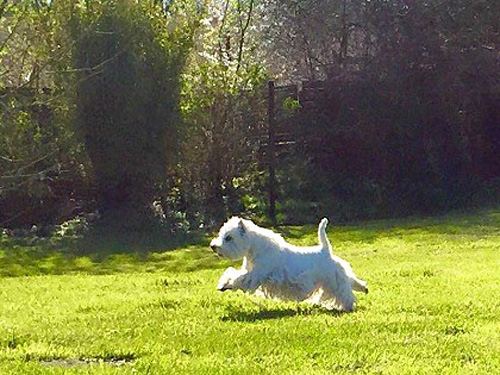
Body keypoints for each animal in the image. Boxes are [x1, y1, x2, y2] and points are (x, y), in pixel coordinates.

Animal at [209, 216, 370, 312]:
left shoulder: (254, 274)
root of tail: (325, 250)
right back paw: (364, 288)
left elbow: (238, 278)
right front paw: (223, 284)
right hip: (336, 274)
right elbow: (232, 272)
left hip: (333, 278)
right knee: (350, 280)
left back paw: (348, 306)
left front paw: (224, 285)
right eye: (221, 235)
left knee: (344, 291)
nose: (213, 246)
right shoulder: (250, 271)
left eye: (228, 238)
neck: (255, 249)